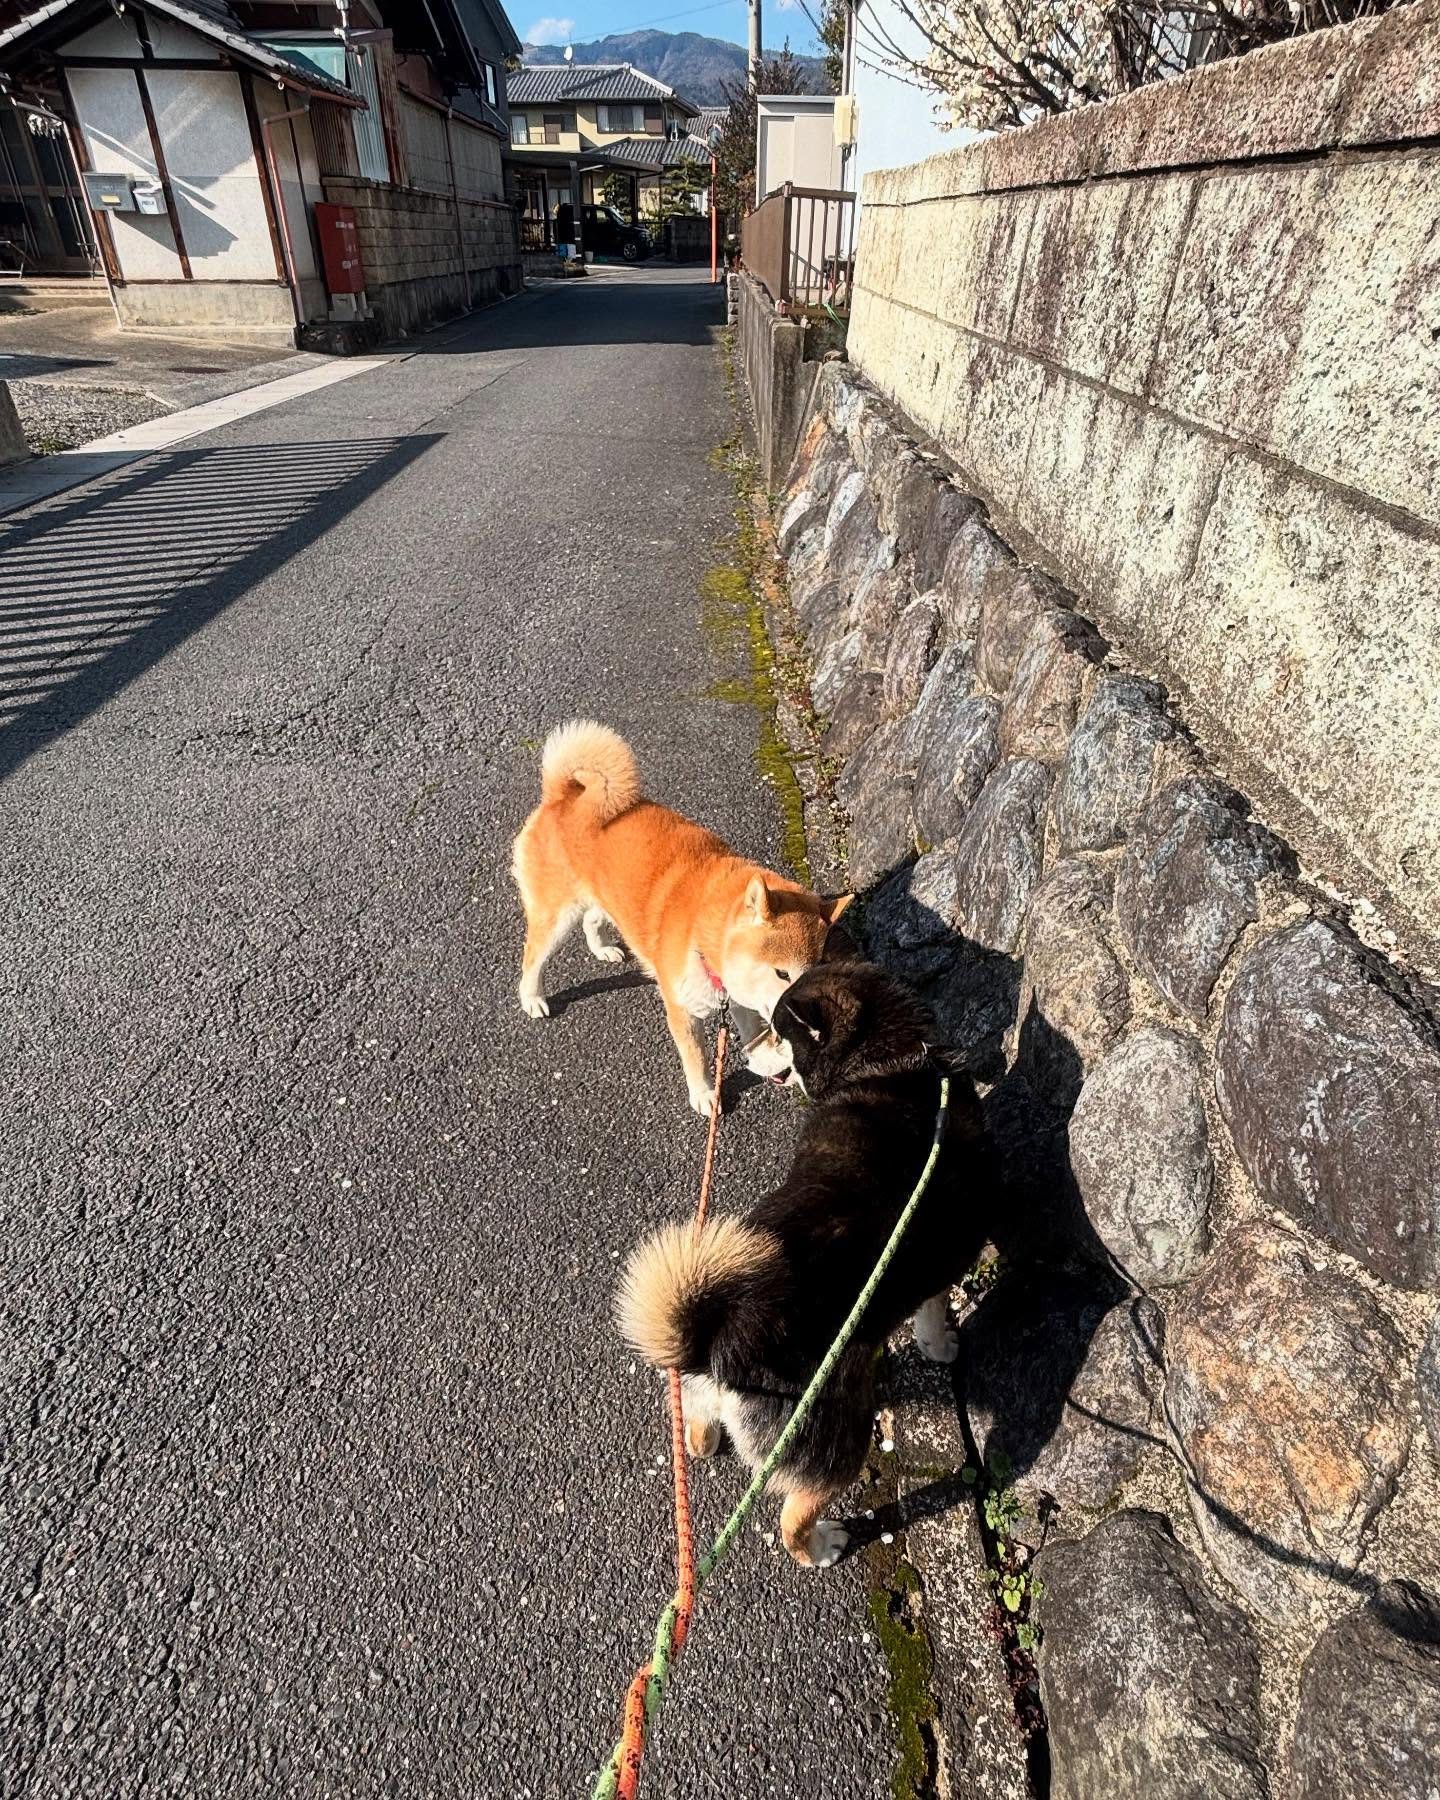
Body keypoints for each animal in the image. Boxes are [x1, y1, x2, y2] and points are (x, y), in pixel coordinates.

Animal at [511, 716, 849, 1108]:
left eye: (812, 974)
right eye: (782, 973)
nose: (808, 1020)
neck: (704, 928)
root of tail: (563, 797)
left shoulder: (738, 998)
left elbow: (754, 1030)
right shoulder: (682, 1007)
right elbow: (697, 1055)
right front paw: (704, 1094)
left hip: (606, 899)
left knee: (593, 919)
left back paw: (603, 948)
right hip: (555, 916)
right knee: (533, 957)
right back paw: (532, 997)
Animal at [612, 957, 986, 1562]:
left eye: (776, 1031)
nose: (743, 1052)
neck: (896, 1061)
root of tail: (723, 1348)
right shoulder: (947, 1254)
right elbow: (932, 1313)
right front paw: (942, 1347)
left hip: (706, 1387)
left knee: (695, 1423)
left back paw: (704, 1437)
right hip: (836, 1437)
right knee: (795, 1515)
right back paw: (823, 1544)